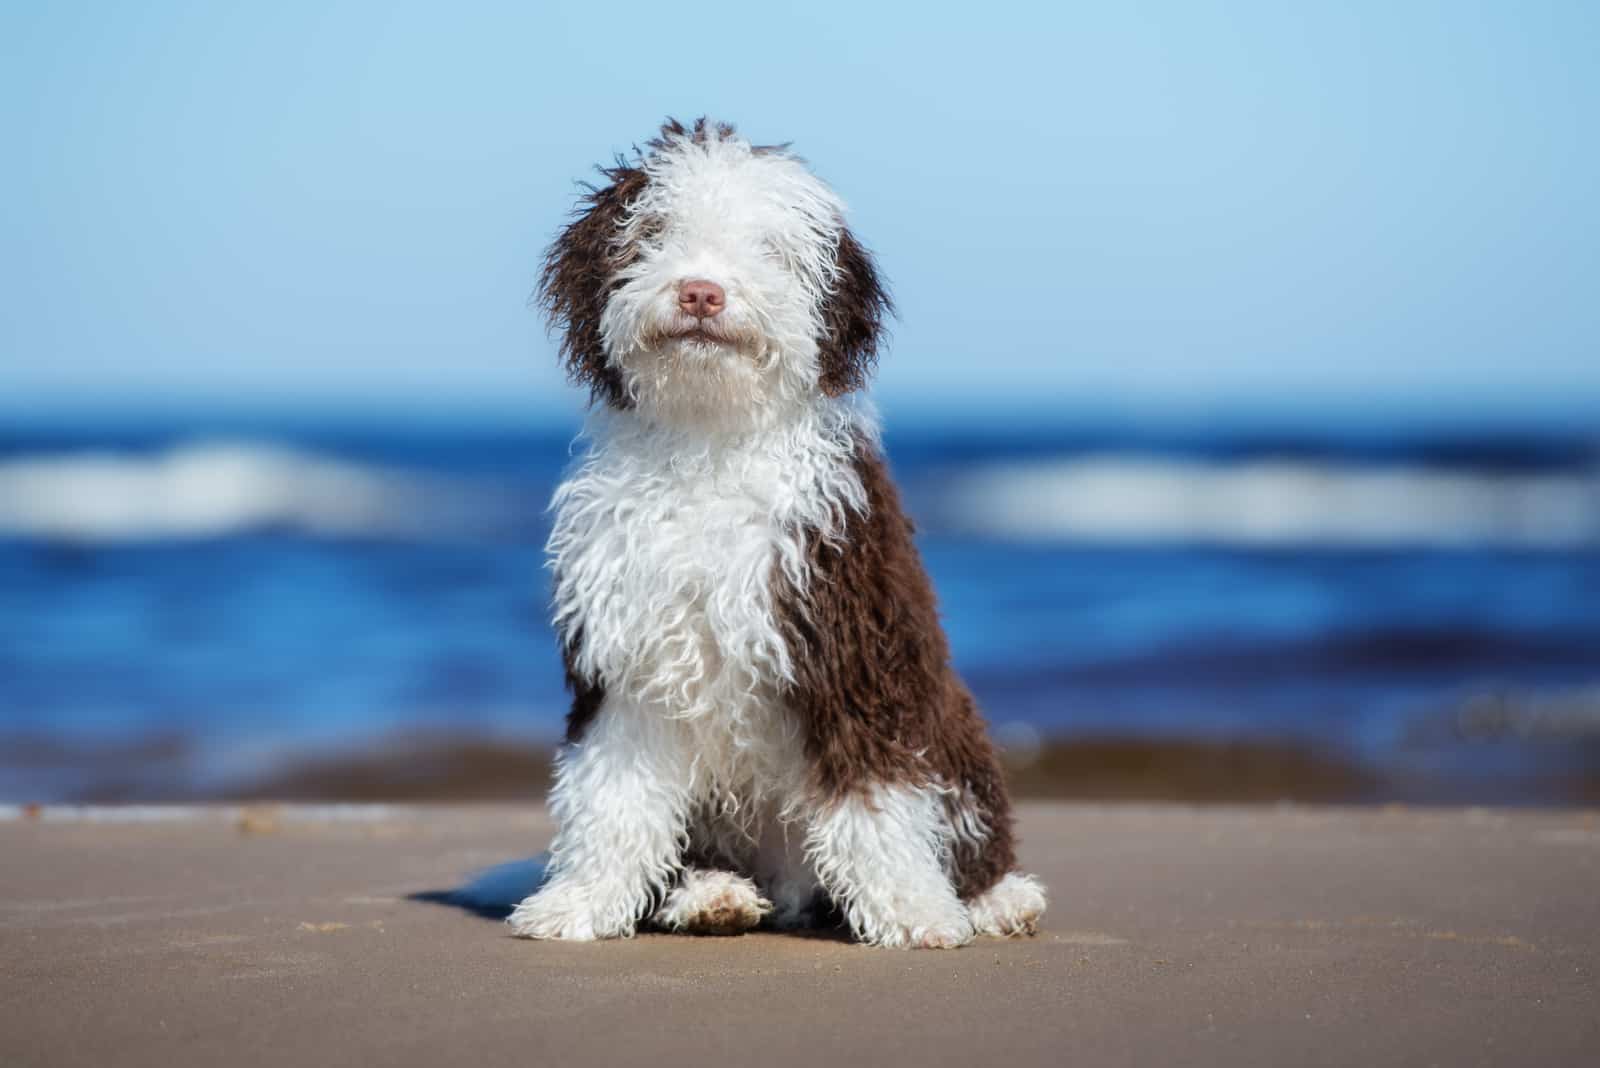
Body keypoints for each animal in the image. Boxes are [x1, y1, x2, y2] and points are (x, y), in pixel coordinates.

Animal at [505, 119, 1043, 952]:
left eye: (769, 249)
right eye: (653, 232)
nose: (700, 290)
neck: (711, 439)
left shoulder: (849, 648)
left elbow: (874, 796)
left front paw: (913, 908)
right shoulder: (630, 666)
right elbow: (614, 793)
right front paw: (581, 900)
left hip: (954, 737)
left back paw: (997, 898)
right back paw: (712, 895)